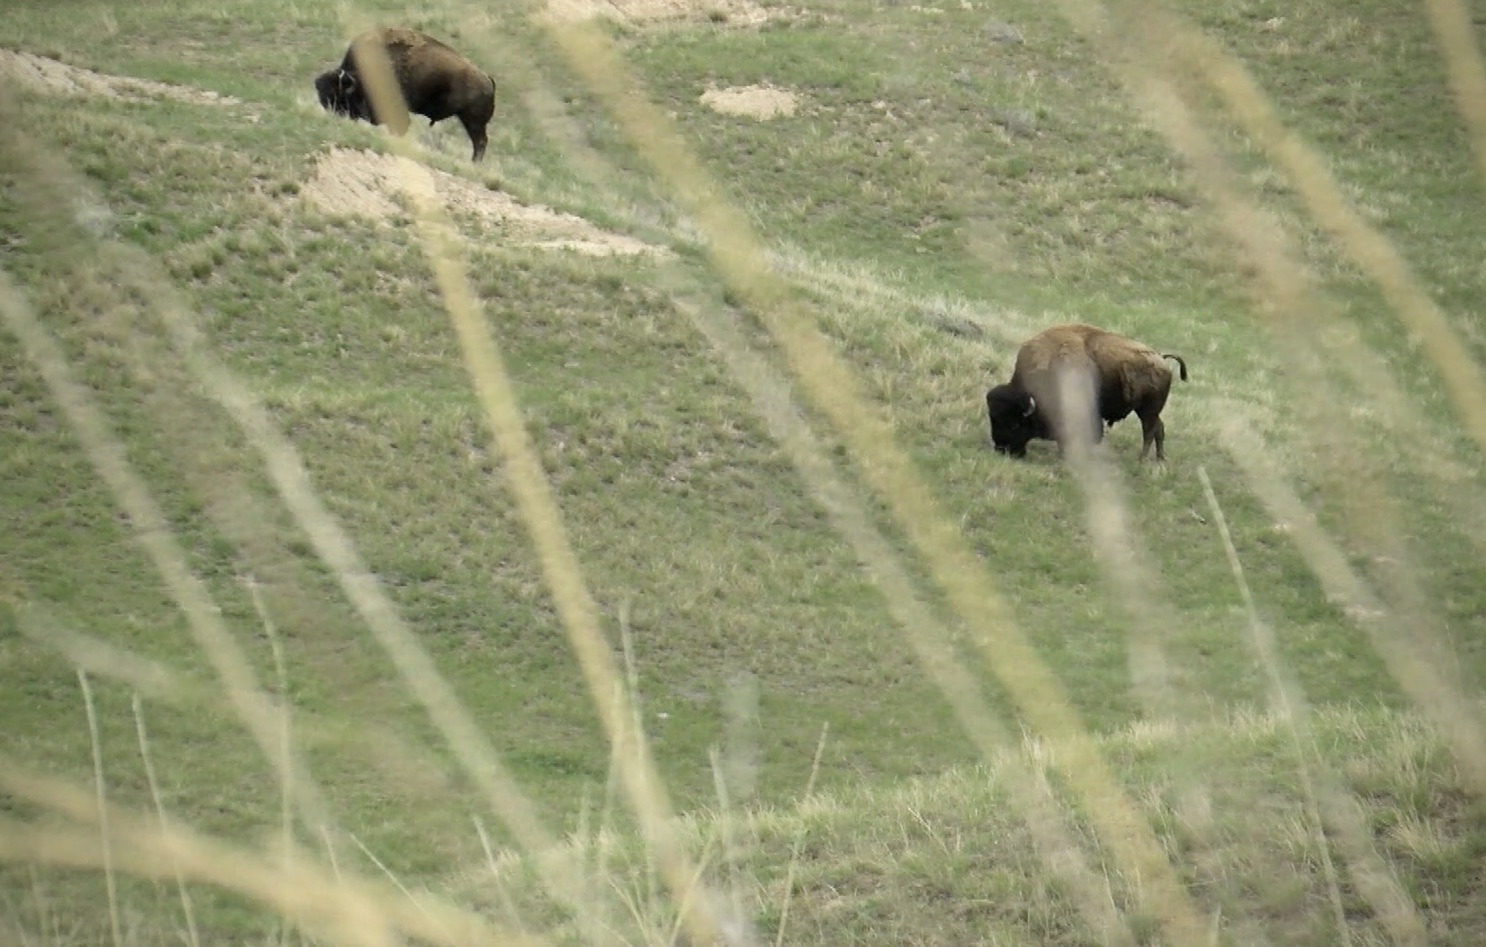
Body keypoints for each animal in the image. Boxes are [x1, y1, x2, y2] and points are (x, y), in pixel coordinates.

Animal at [985, 323, 1188, 461]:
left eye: (1015, 425)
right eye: (992, 419)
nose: (1002, 449)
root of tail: (1161, 358)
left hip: (1148, 410)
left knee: (1149, 431)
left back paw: (1143, 459)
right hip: (1147, 410)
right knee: (1159, 428)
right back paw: (1160, 460)